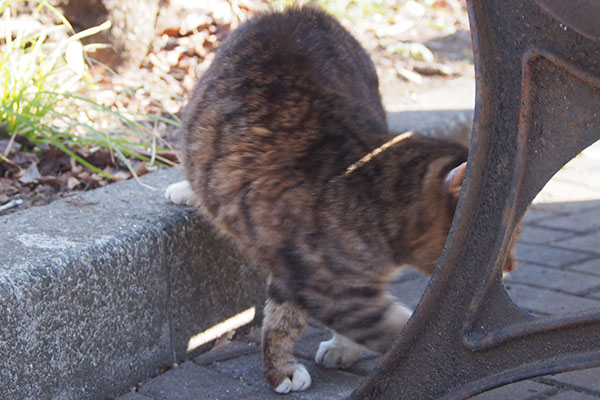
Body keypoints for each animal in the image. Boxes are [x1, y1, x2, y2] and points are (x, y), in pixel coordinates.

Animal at [165, 5, 516, 394]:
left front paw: (325, 353)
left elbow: (283, 319)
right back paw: (185, 190)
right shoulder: (324, 285)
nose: (508, 267)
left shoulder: (299, 276)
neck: (373, 193)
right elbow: (390, 331)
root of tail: (298, 10)